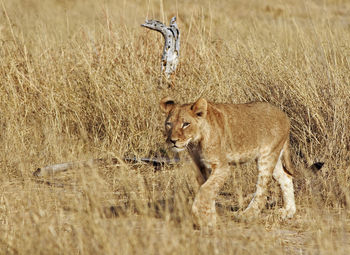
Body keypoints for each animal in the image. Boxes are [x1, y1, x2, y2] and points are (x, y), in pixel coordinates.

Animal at [161, 96, 296, 228]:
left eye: (186, 124)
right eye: (169, 124)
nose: (173, 141)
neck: (195, 142)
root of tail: (284, 115)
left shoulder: (222, 166)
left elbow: (205, 189)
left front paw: (203, 219)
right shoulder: (199, 165)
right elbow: (206, 190)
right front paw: (210, 217)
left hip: (267, 156)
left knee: (262, 191)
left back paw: (247, 215)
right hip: (273, 156)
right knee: (286, 177)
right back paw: (288, 211)